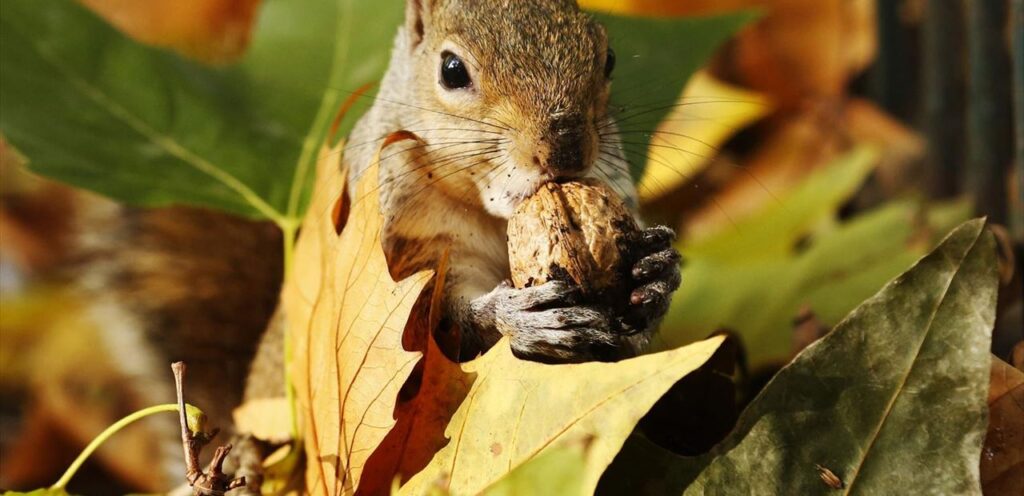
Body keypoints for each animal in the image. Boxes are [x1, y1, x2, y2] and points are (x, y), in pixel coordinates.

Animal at [77, 0, 682, 484]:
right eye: (452, 70)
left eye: (607, 57)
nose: (565, 150)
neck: (491, 213)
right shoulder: (398, 246)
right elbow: (435, 327)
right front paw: (521, 316)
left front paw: (656, 274)